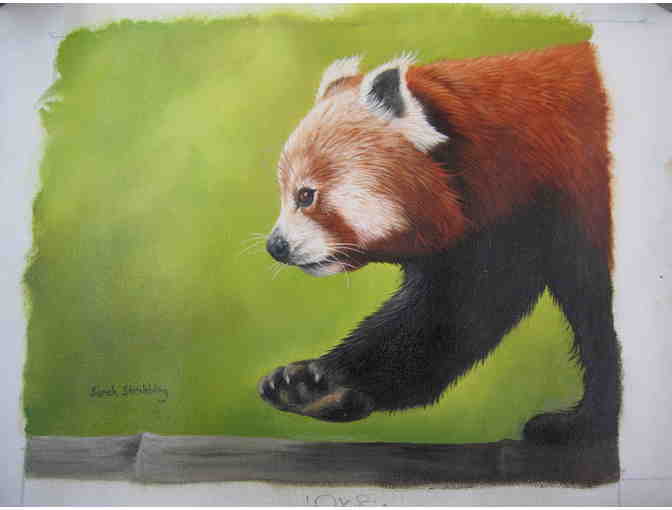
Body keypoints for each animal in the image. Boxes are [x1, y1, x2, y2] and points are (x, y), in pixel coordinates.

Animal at [258, 42, 621, 445]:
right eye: (285, 194)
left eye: (306, 196)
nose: (276, 246)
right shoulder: (497, 228)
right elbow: (448, 316)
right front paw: (311, 385)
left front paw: (586, 423)